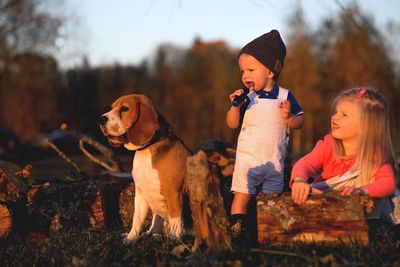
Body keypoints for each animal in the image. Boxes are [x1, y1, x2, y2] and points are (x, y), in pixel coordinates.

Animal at [98, 94, 189, 243]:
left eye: (124, 109)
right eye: (112, 108)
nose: (100, 119)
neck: (147, 150)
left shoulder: (174, 193)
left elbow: (176, 220)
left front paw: (174, 240)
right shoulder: (140, 192)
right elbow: (137, 219)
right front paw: (131, 238)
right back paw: (152, 234)